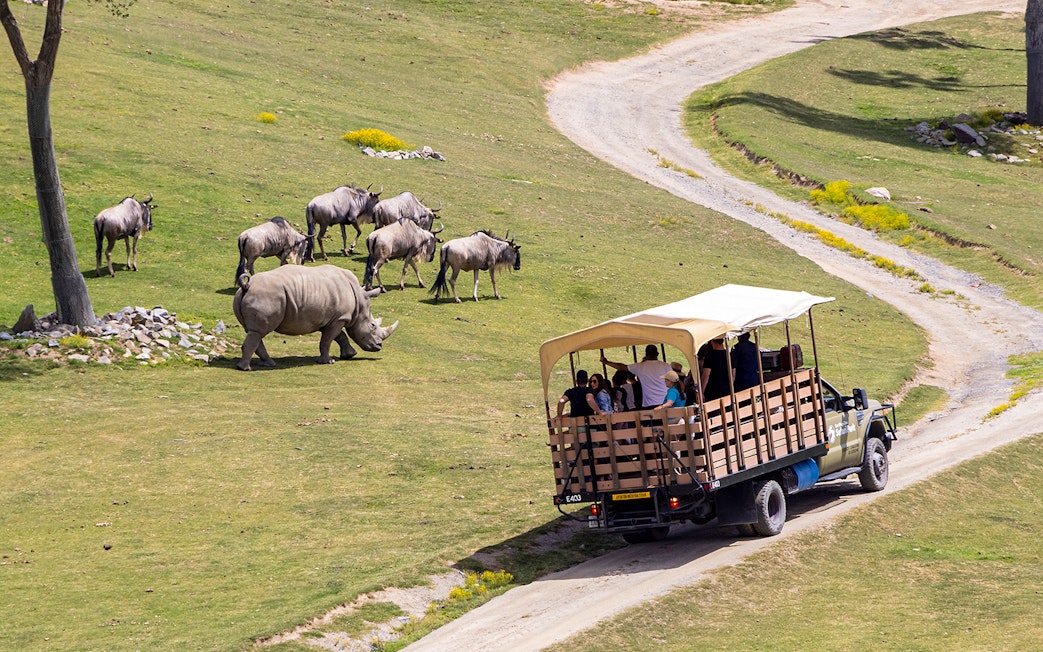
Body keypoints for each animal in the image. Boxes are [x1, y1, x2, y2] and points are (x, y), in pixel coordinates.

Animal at [233, 264, 399, 371]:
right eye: (372, 326)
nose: (379, 346)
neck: (359, 300)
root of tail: (247, 286)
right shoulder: (340, 318)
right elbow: (328, 339)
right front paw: (328, 362)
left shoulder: (335, 318)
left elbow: (339, 336)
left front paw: (350, 355)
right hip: (266, 296)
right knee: (258, 332)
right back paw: (246, 369)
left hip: (244, 297)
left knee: (253, 331)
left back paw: (268, 364)